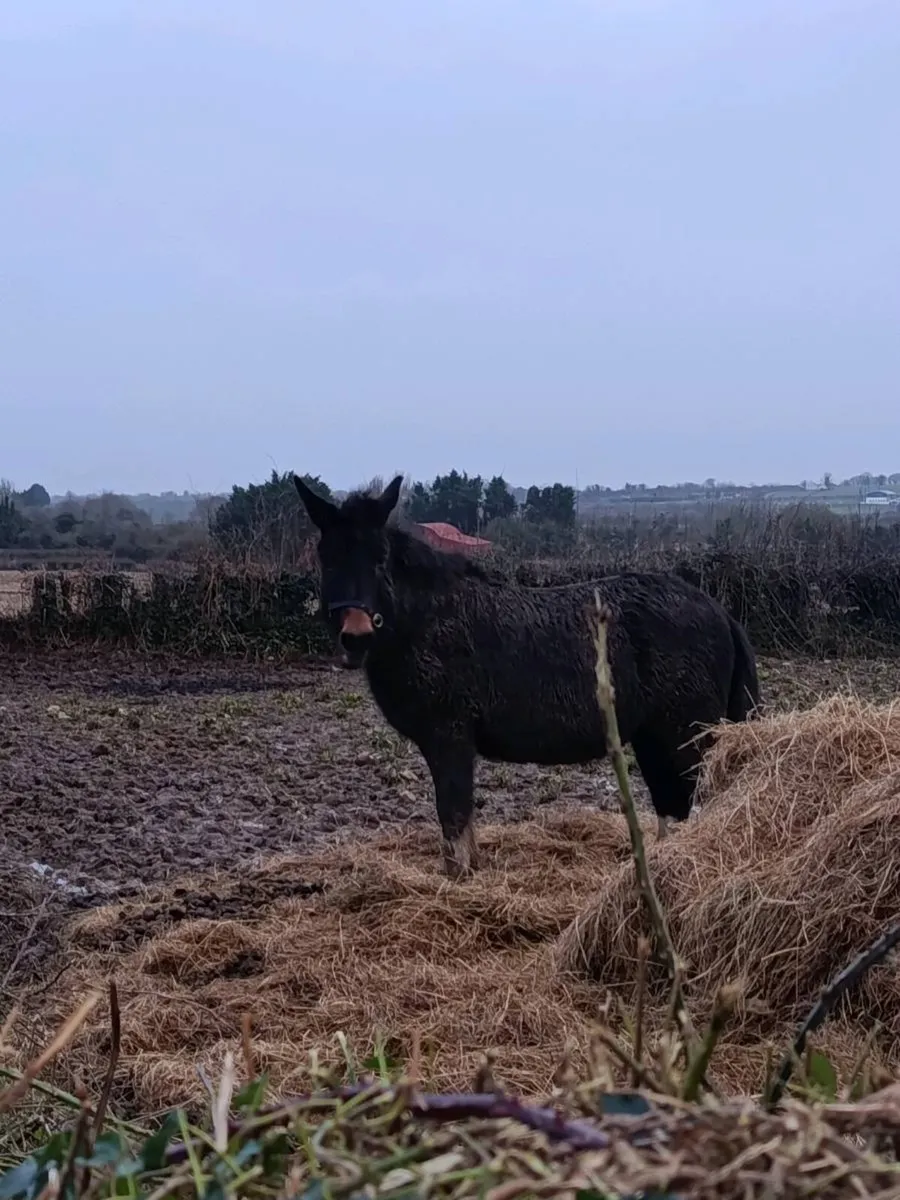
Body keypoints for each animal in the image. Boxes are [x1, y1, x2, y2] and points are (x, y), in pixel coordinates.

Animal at [295, 474, 761, 878]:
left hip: (686, 738)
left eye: (380, 559)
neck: (426, 620)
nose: (355, 636)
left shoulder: (449, 737)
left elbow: (454, 823)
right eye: (328, 557)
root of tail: (719, 613)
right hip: (654, 740)